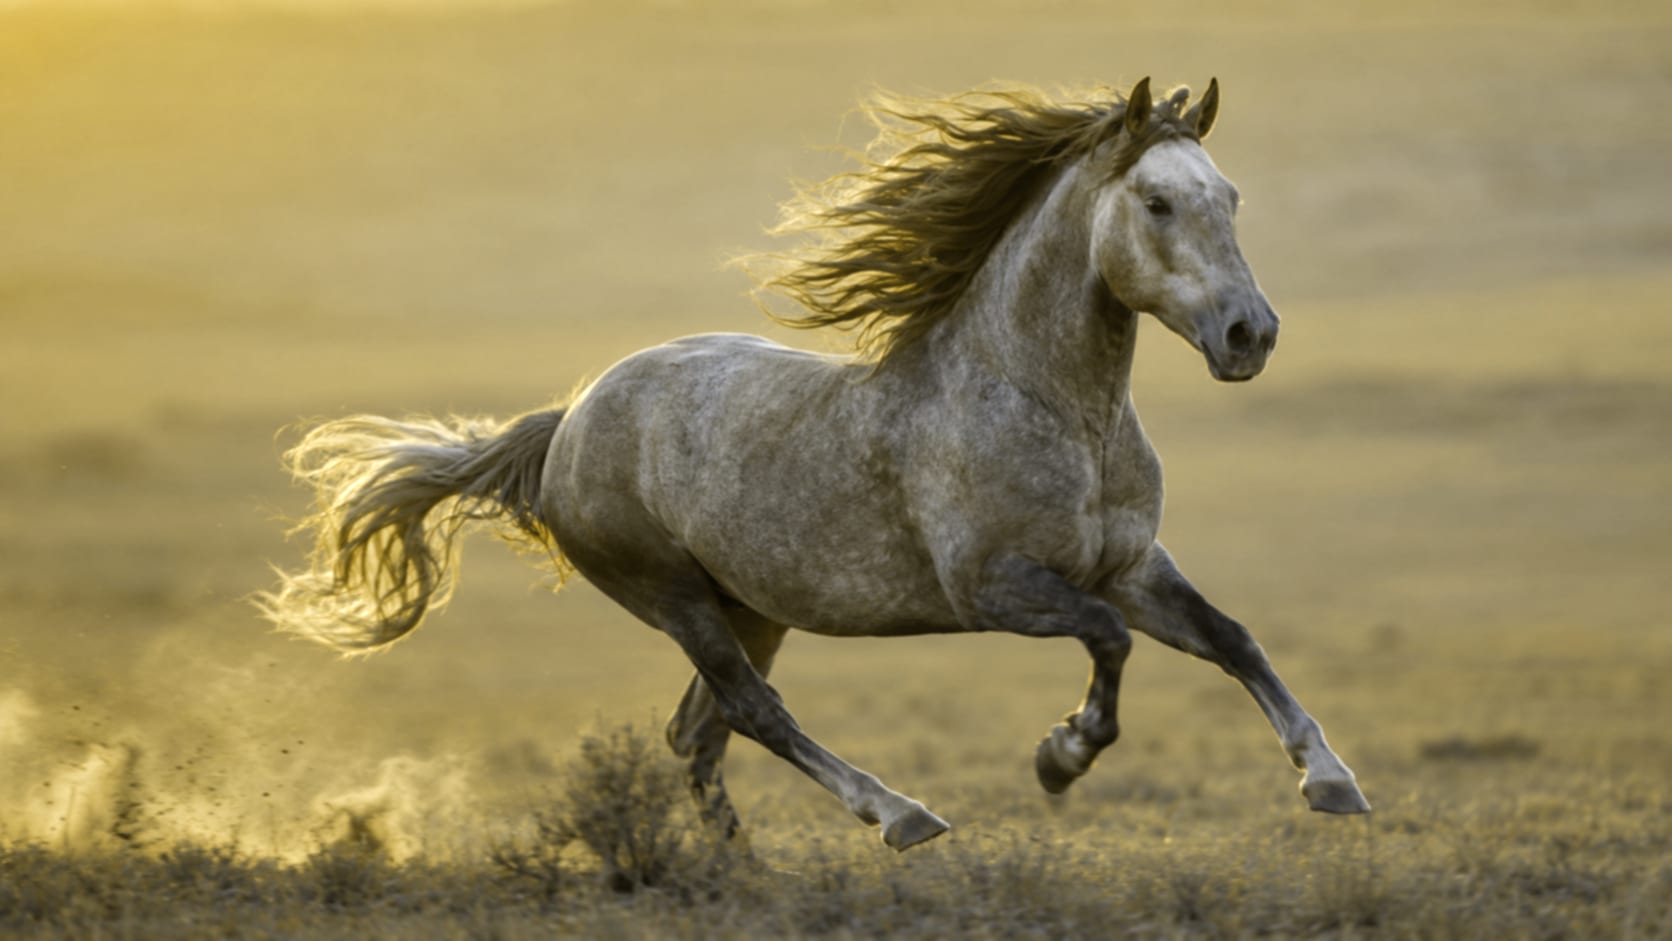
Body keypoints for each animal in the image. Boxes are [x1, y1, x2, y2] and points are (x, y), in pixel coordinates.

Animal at [259, 77, 1370, 852]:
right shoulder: (998, 586)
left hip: (752, 603)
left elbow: (1232, 638)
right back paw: (900, 816)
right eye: (1156, 202)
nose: (1249, 334)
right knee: (752, 710)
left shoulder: (1130, 564)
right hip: (673, 596)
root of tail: (569, 419)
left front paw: (1330, 780)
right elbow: (1108, 641)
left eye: (1229, 195)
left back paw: (734, 873)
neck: (1049, 404)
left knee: (697, 732)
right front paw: (1060, 757)